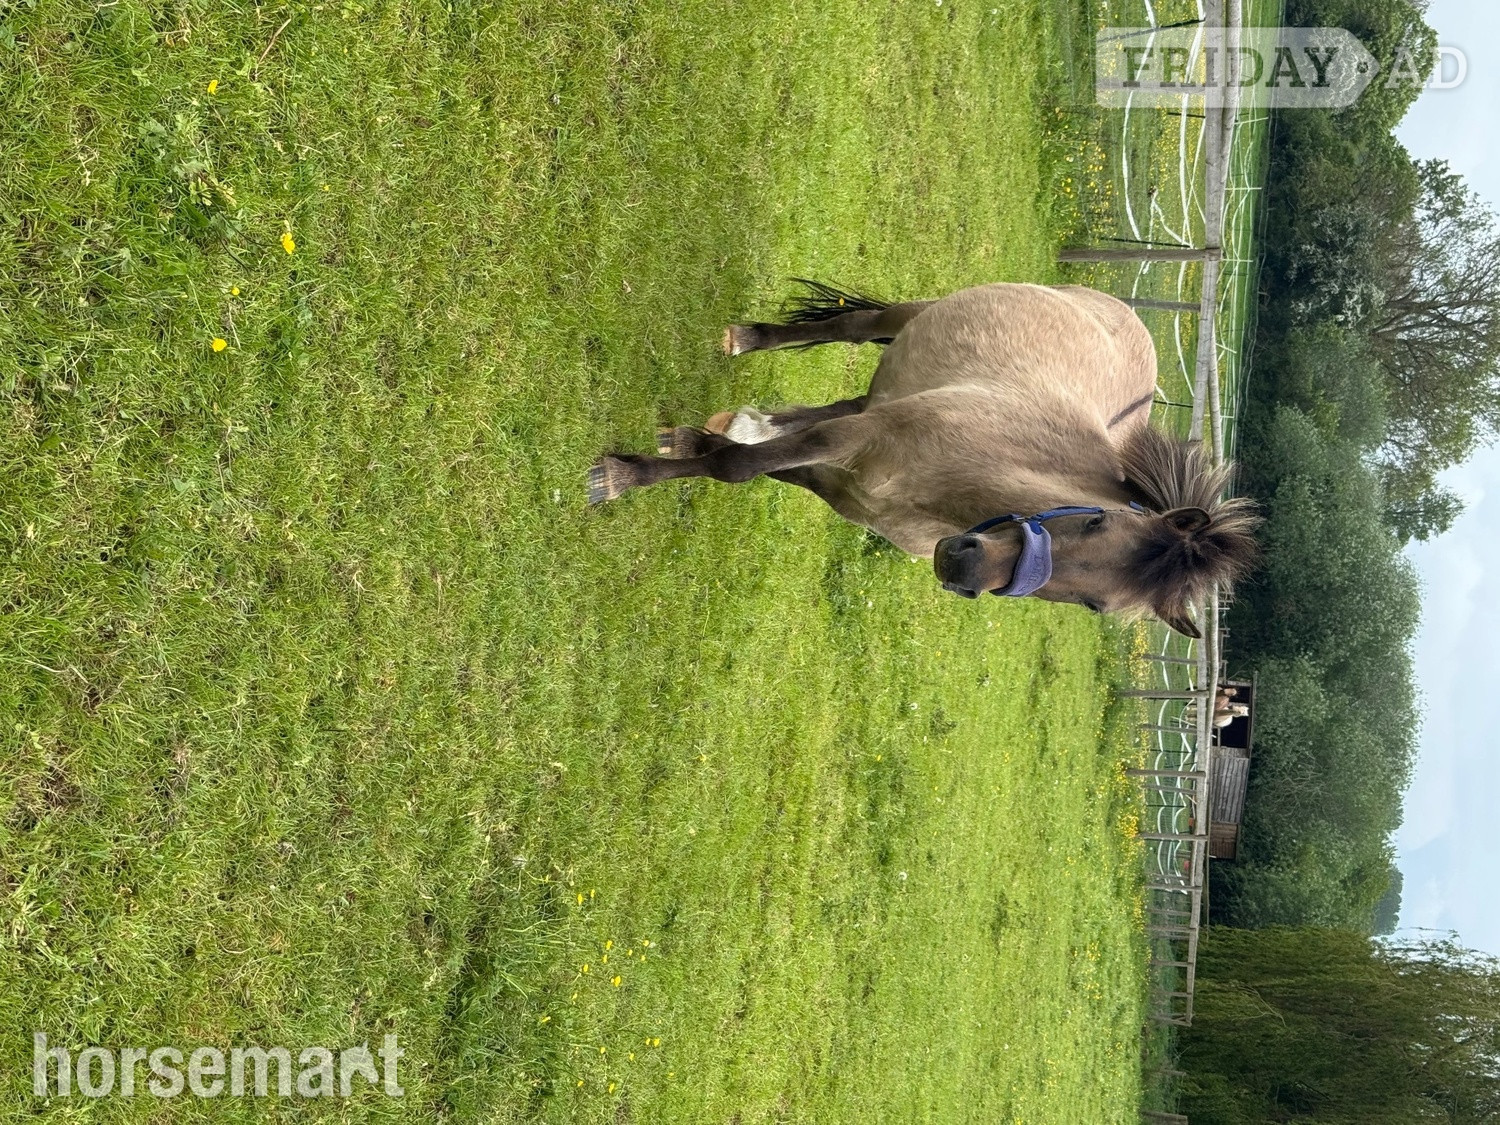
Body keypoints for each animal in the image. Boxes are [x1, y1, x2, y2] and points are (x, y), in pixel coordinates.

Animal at [587, 281, 1258, 638]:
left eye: (1096, 606)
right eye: (1096, 520)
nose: (964, 566)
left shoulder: (843, 477)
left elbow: (754, 462)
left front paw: (696, 443)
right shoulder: (856, 440)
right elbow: (740, 468)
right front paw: (621, 476)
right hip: (909, 318)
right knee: (858, 325)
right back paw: (749, 339)